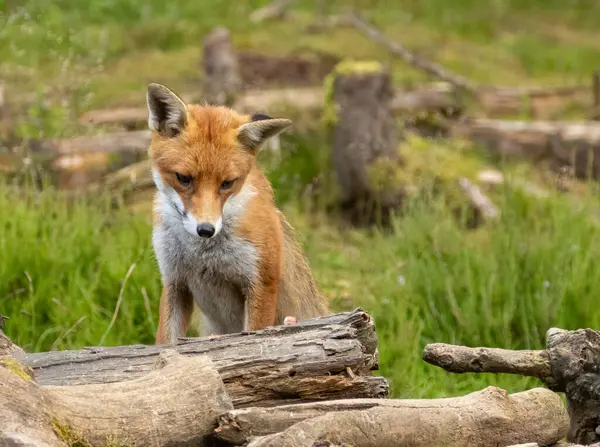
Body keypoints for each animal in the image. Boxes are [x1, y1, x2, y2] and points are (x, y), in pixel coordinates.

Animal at [147, 82, 330, 344]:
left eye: (227, 183)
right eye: (183, 178)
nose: (206, 230)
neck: (202, 254)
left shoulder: (262, 282)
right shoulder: (175, 281)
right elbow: (165, 341)